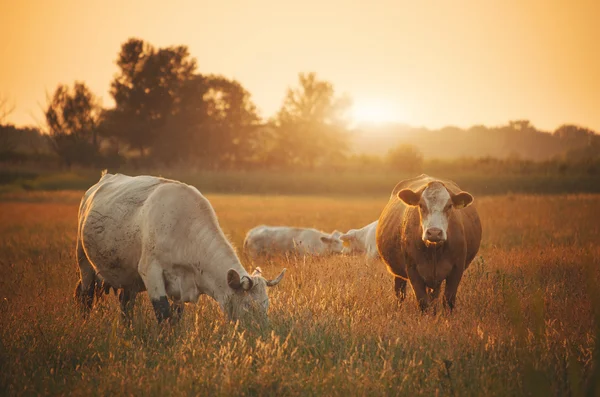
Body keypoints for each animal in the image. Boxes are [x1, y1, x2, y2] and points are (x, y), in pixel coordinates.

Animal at [74, 172, 286, 324]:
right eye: (249, 306)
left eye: (266, 306)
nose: (262, 334)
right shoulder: (150, 272)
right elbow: (163, 313)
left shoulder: (180, 287)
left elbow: (175, 317)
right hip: (84, 261)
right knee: (85, 295)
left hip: (128, 278)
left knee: (126, 304)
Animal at [376, 175, 482, 310]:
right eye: (421, 205)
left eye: (449, 206)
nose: (434, 232)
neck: (434, 249)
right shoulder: (413, 270)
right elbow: (423, 302)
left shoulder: (457, 269)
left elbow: (448, 301)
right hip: (400, 275)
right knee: (400, 293)